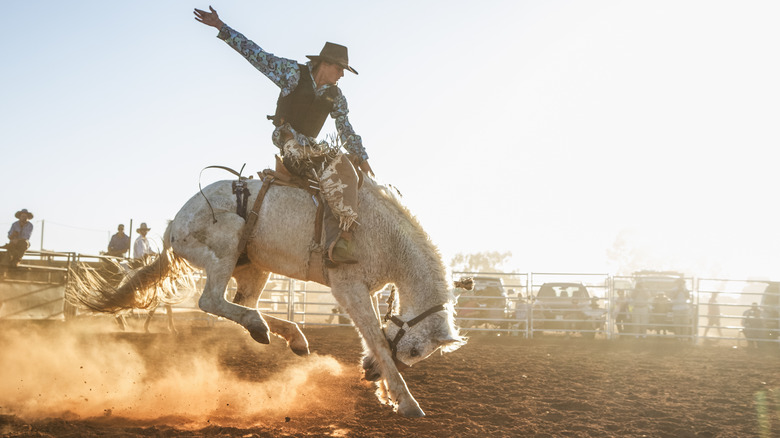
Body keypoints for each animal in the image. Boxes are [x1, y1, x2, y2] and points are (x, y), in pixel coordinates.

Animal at [68, 175, 464, 418]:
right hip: (226, 244)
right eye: (415, 350)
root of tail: (173, 226)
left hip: (254, 266)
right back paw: (265, 328)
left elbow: (376, 335)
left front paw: (382, 388)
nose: (369, 375)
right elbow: (378, 339)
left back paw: (288, 335)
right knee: (211, 302)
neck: (384, 234)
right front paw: (405, 401)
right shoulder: (348, 286)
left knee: (243, 303)